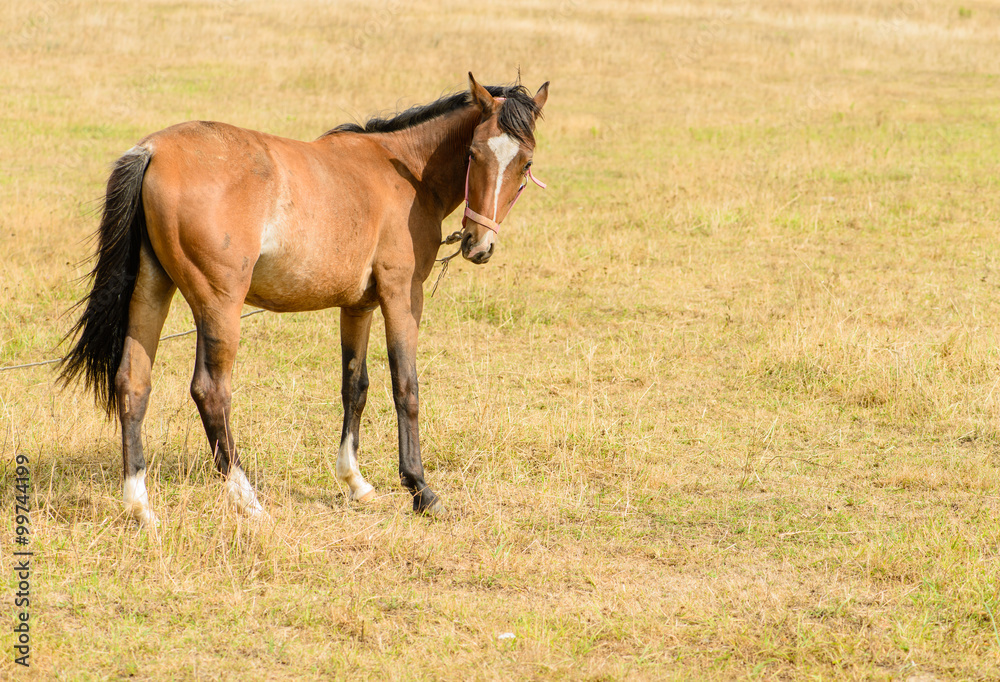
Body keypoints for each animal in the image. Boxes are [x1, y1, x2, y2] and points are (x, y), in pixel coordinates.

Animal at [60, 73, 549, 527]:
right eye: (474, 154)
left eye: (525, 163)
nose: (478, 244)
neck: (404, 172)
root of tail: (153, 150)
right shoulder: (401, 294)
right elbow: (405, 387)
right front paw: (421, 489)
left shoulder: (358, 306)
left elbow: (355, 386)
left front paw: (355, 480)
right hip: (219, 305)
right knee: (210, 391)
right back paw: (246, 498)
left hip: (151, 289)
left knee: (133, 383)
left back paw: (140, 505)